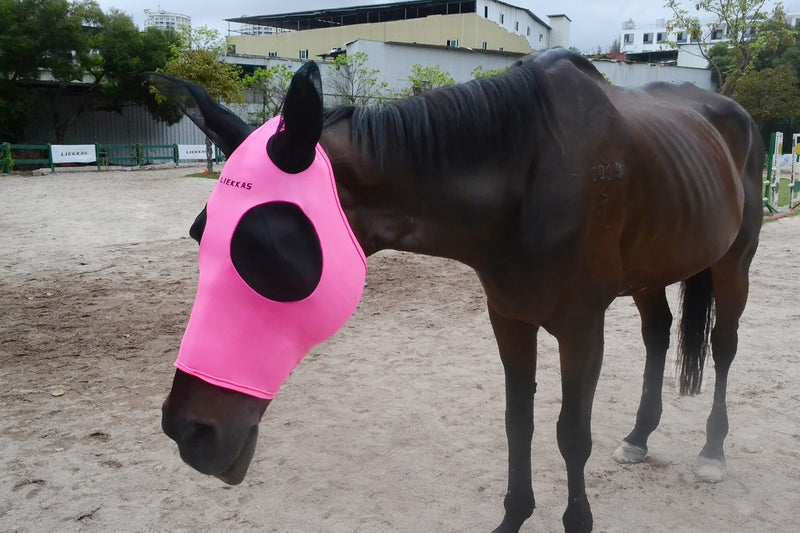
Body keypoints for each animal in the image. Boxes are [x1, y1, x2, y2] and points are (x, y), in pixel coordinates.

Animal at [148, 48, 764, 532]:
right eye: (200, 234)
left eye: (267, 249)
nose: (188, 431)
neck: (532, 171)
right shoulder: (509, 318)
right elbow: (518, 424)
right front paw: (514, 516)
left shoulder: (580, 328)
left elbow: (571, 434)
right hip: (650, 273)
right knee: (659, 334)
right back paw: (639, 436)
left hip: (734, 265)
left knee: (725, 346)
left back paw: (712, 451)